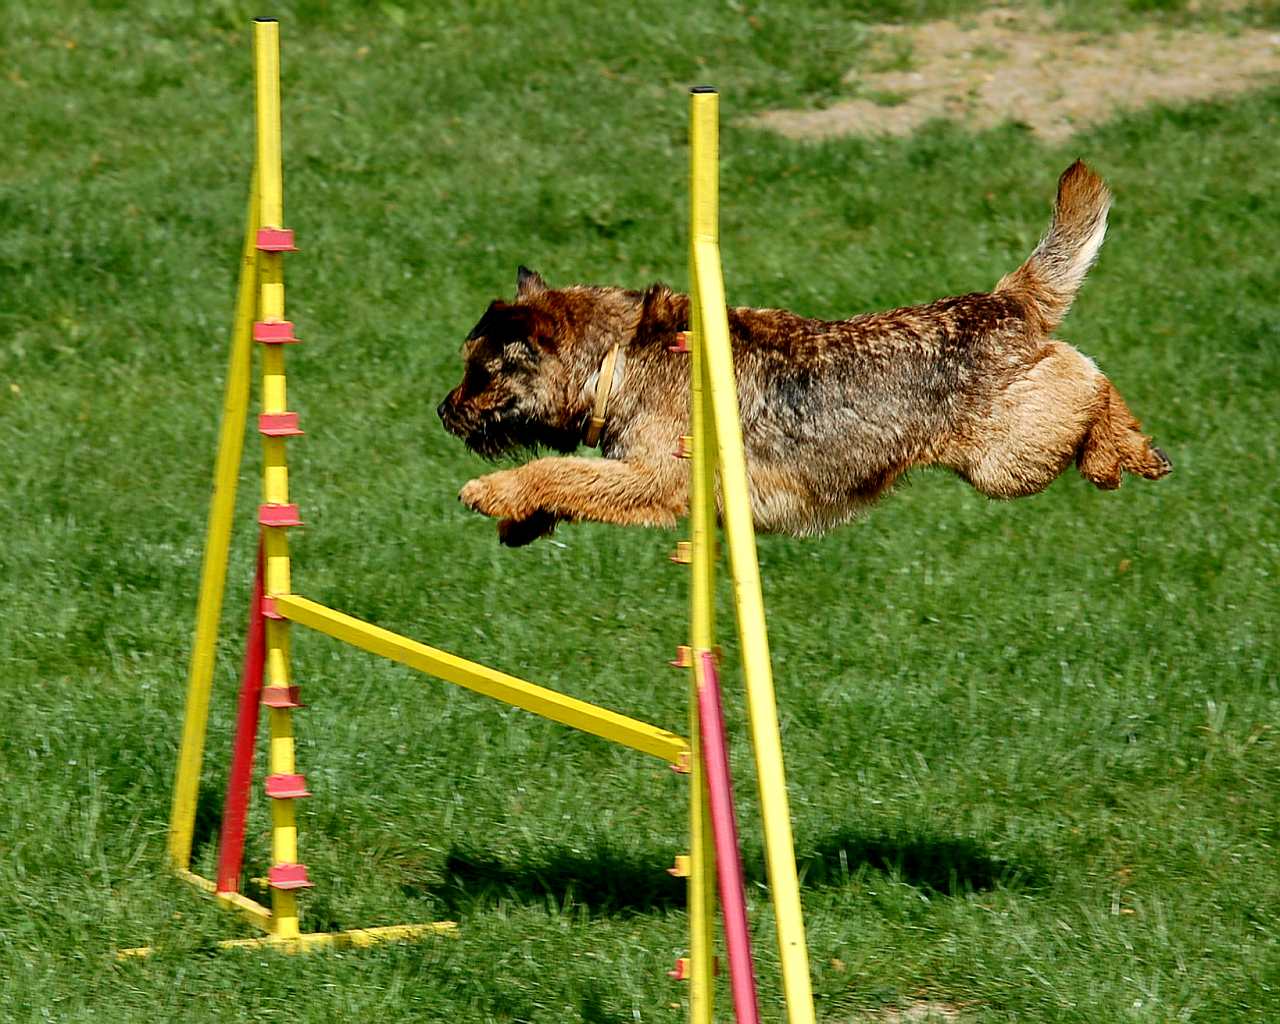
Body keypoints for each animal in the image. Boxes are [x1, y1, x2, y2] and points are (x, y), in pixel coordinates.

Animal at [437, 161, 1172, 542]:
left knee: (1089, 382)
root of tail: (1001, 301)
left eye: (478, 370)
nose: (442, 410)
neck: (618, 359)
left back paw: (1121, 454)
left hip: (1009, 454)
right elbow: (568, 479)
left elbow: (559, 470)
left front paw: (494, 492)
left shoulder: (656, 479)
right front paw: (520, 519)